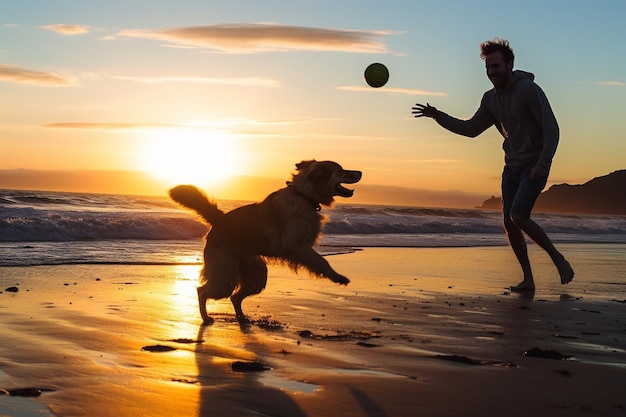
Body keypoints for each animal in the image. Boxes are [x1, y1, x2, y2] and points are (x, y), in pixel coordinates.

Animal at [168, 159, 360, 324]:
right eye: (340, 170)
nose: (360, 172)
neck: (303, 196)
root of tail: (220, 219)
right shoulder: (297, 246)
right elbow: (322, 261)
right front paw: (337, 277)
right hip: (226, 276)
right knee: (202, 291)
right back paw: (206, 317)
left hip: (256, 276)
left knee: (235, 297)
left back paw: (242, 318)